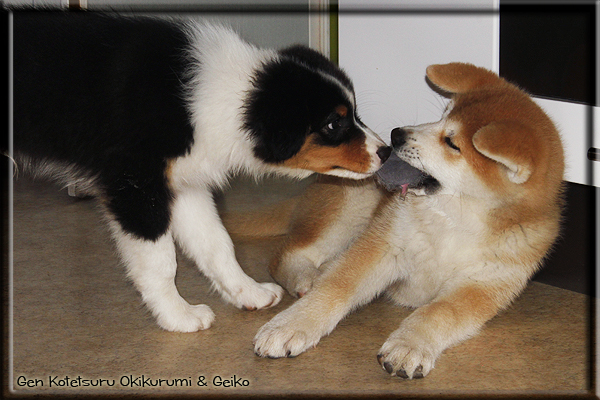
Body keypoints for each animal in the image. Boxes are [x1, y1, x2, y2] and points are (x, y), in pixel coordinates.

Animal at [14, 11, 390, 332]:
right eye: (333, 124)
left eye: (353, 113)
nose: (385, 152)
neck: (221, 97)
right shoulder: (137, 189)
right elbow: (161, 261)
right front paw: (178, 317)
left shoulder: (184, 183)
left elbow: (217, 242)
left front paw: (248, 293)